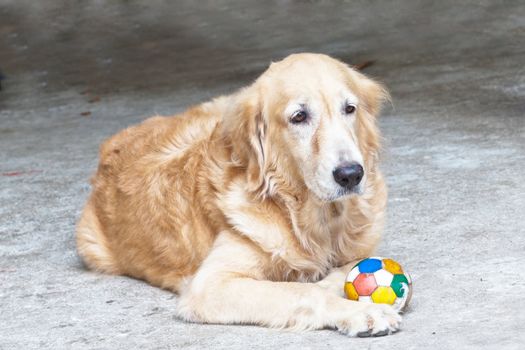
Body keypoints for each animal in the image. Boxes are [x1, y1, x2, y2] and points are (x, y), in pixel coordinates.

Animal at [75, 52, 400, 336]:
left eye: (350, 109)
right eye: (299, 116)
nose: (351, 174)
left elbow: (343, 271)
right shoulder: (210, 285)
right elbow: (303, 291)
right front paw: (360, 311)